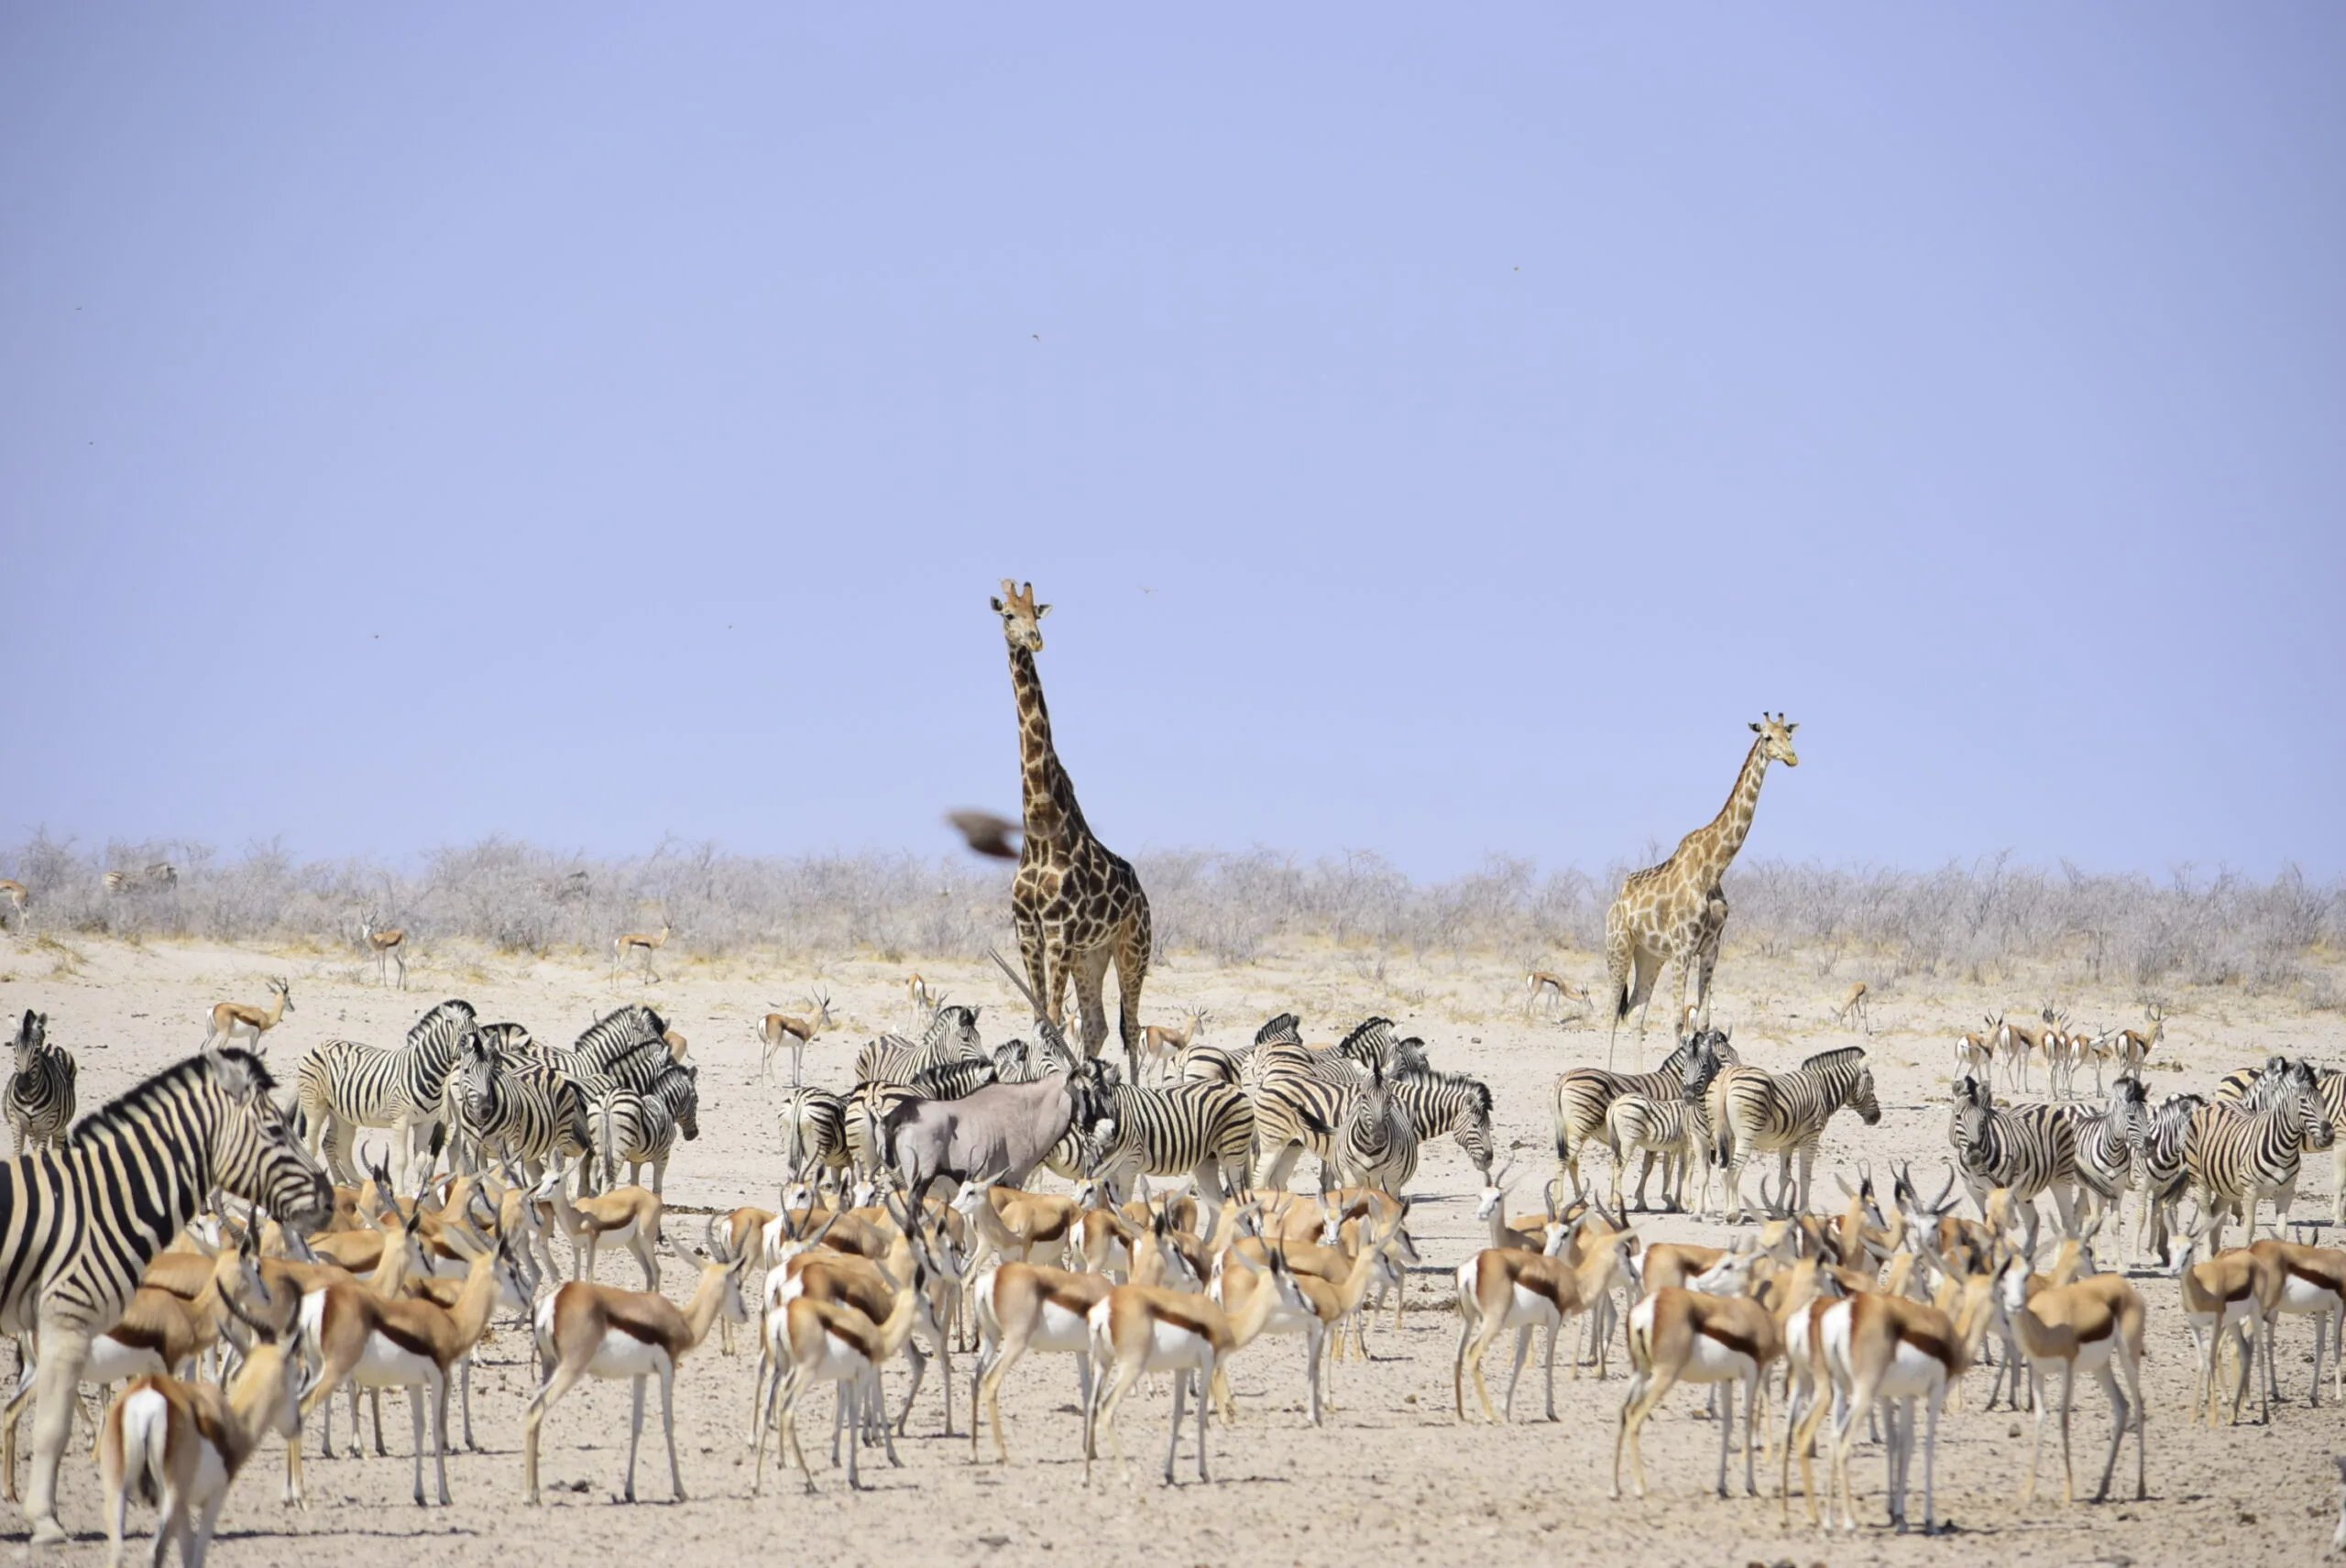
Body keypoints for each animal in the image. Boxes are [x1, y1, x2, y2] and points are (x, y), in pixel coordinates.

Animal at [991, 579, 1153, 1073]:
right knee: (1099, 1025)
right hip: (1091, 955)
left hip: (1133, 948)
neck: (1041, 830)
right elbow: (1040, 1018)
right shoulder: (1028, 929)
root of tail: (1143, 896)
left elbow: (1050, 1020)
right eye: (1008, 614)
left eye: (1037, 614)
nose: (1035, 640)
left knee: (1131, 1026)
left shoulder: (1059, 930)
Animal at [1603, 713, 1800, 1068]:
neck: (1713, 867)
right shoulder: (1683, 948)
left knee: (1636, 1012)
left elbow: (1704, 1021)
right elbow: (1679, 1022)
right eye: (1767, 737)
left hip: (1650, 955)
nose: (1792, 758)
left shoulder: (1710, 947)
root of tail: (1615, 903)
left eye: (1788, 736)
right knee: (1612, 1011)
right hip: (1619, 947)